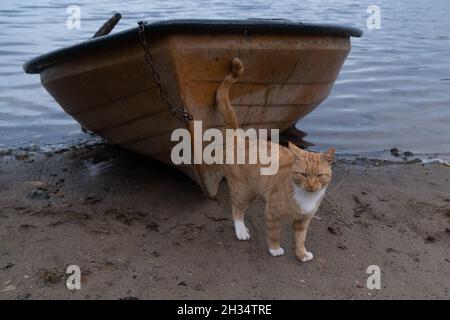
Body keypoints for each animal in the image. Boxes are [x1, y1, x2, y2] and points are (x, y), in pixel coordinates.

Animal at [218, 58, 334, 262]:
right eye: (303, 174)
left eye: (319, 176)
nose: (311, 186)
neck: (306, 197)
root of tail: (242, 139)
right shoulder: (272, 213)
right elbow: (273, 234)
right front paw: (275, 249)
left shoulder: (303, 221)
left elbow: (300, 238)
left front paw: (301, 254)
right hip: (243, 190)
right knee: (236, 209)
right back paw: (241, 231)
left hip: (253, 191)